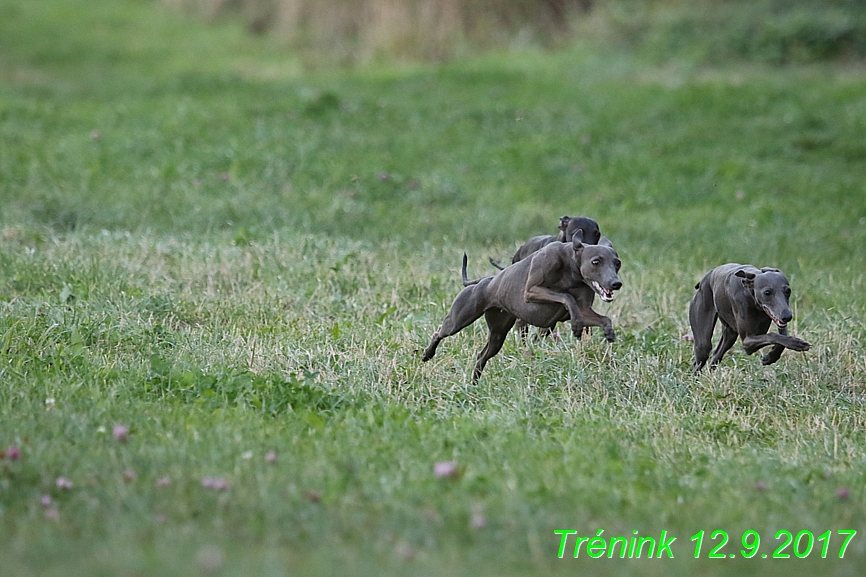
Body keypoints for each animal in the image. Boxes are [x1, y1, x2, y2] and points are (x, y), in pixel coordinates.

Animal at [420, 232, 616, 380]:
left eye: (617, 263)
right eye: (596, 261)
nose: (616, 283)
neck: (572, 269)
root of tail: (482, 281)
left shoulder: (584, 310)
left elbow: (602, 318)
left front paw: (607, 332)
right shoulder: (531, 291)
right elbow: (567, 297)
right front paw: (576, 325)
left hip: (497, 335)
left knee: (482, 356)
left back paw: (474, 383)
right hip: (458, 320)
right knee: (439, 332)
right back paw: (427, 354)